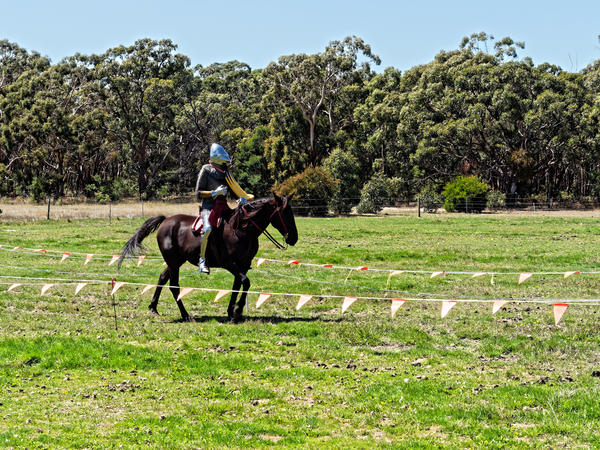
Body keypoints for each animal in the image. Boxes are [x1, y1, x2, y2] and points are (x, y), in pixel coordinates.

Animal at [117, 195, 298, 322]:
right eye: (285, 213)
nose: (294, 238)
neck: (241, 229)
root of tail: (166, 220)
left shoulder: (243, 265)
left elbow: (238, 286)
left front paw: (231, 312)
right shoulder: (230, 263)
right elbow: (245, 282)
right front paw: (238, 311)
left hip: (176, 261)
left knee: (162, 277)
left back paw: (154, 307)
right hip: (174, 262)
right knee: (174, 286)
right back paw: (185, 315)